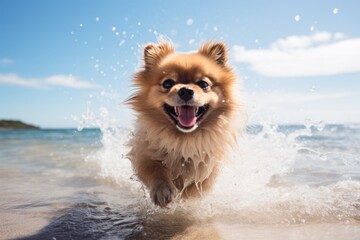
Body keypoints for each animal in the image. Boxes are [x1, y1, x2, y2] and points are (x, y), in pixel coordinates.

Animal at [128, 40, 240, 206]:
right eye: (168, 83)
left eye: (203, 84)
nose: (186, 90)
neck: (184, 140)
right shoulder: (144, 153)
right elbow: (155, 169)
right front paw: (163, 191)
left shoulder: (207, 168)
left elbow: (194, 189)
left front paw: (185, 201)